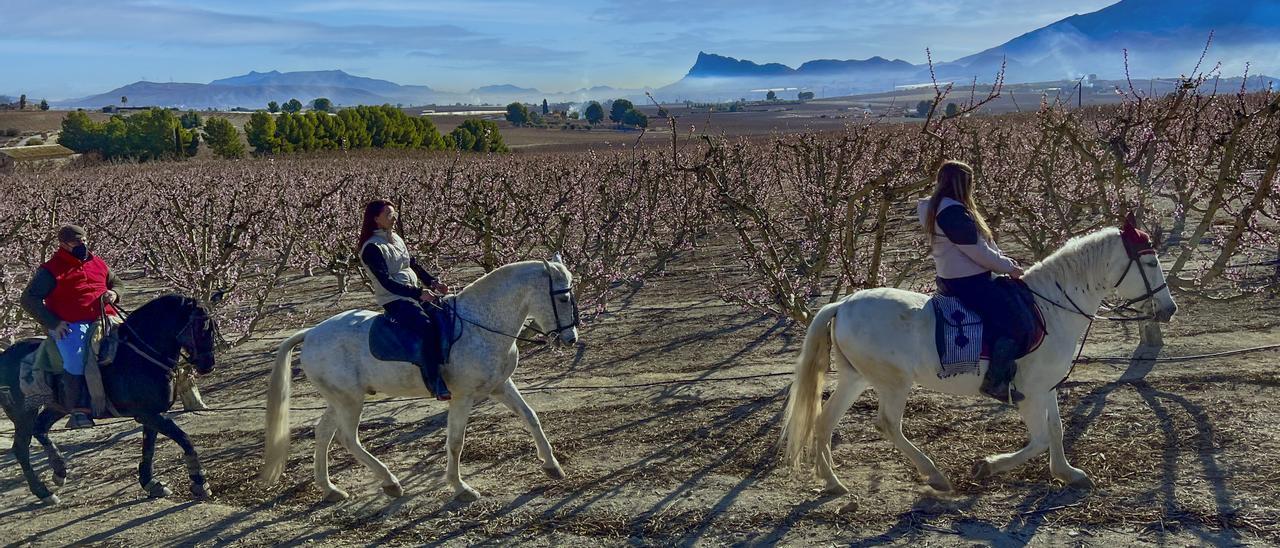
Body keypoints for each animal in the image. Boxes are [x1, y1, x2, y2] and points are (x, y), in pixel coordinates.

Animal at [0, 295, 217, 504]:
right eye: (202, 327)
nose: (208, 364)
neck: (139, 355)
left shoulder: (153, 414)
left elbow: (149, 447)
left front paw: (150, 483)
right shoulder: (147, 414)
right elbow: (183, 438)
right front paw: (200, 482)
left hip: (56, 407)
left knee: (40, 429)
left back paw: (59, 471)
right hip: (23, 414)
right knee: (21, 448)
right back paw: (43, 492)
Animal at [259, 257, 581, 501]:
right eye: (563, 297)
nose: (571, 339)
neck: (480, 324)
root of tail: (311, 333)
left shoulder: (500, 386)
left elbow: (530, 417)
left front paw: (552, 465)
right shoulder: (463, 397)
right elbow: (455, 441)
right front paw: (460, 487)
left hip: (340, 400)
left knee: (323, 431)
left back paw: (330, 489)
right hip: (350, 401)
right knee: (348, 438)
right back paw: (390, 482)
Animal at [773, 218, 1172, 496]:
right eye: (1151, 263)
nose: (1170, 309)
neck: (1050, 307)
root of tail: (842, 304)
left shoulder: (1046, 388)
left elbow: (1056, 431)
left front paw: (1067, 473)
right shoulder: (1028, 394)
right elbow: (1040, 438)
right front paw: (987, 466)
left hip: (856, 378)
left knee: (824, 421)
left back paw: (833, 482)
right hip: (892, 383)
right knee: (887, 424)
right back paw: (934, 475)